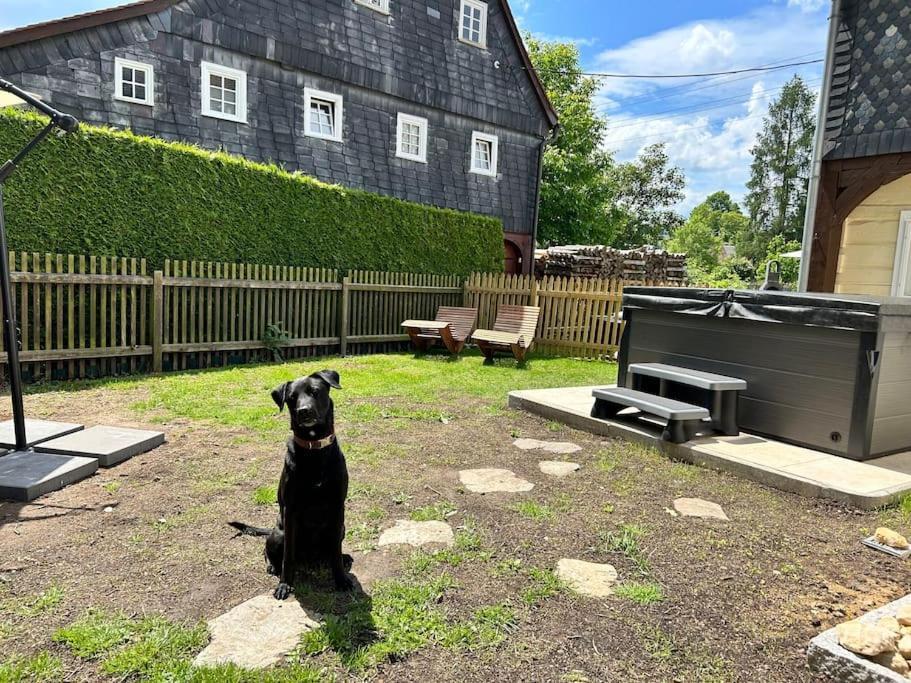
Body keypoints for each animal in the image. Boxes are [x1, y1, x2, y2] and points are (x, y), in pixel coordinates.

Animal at [230, 372, 354, 600]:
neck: (314, 450)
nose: (303, 411)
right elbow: (288, 557)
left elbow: (335, 551)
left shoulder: (337, 506)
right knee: (269, 552)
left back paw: (344, 557)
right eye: (291, 398)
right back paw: (273, 566)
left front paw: (341, 579)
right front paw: (284, 584)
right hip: (278, 534)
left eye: (315, 391)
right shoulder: (291, 510)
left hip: (341, 527)